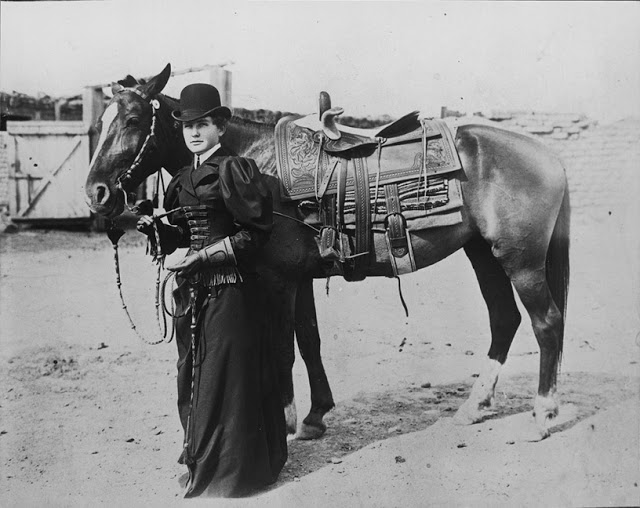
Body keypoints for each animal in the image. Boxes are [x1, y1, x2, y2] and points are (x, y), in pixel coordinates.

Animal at [85, 64, 568, 440]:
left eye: (132, 119)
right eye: (100, 123)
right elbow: (310, 340)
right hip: (483, 253)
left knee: (546, 322)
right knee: (504, 320)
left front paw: (285, 421)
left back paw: (543, 414)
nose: (97, 193)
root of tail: (548, 154)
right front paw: (316, 416)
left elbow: (284, 347)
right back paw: (475, 406)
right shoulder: (299, 278)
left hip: (520, 261)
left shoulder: (280, 281)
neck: (254, 163)